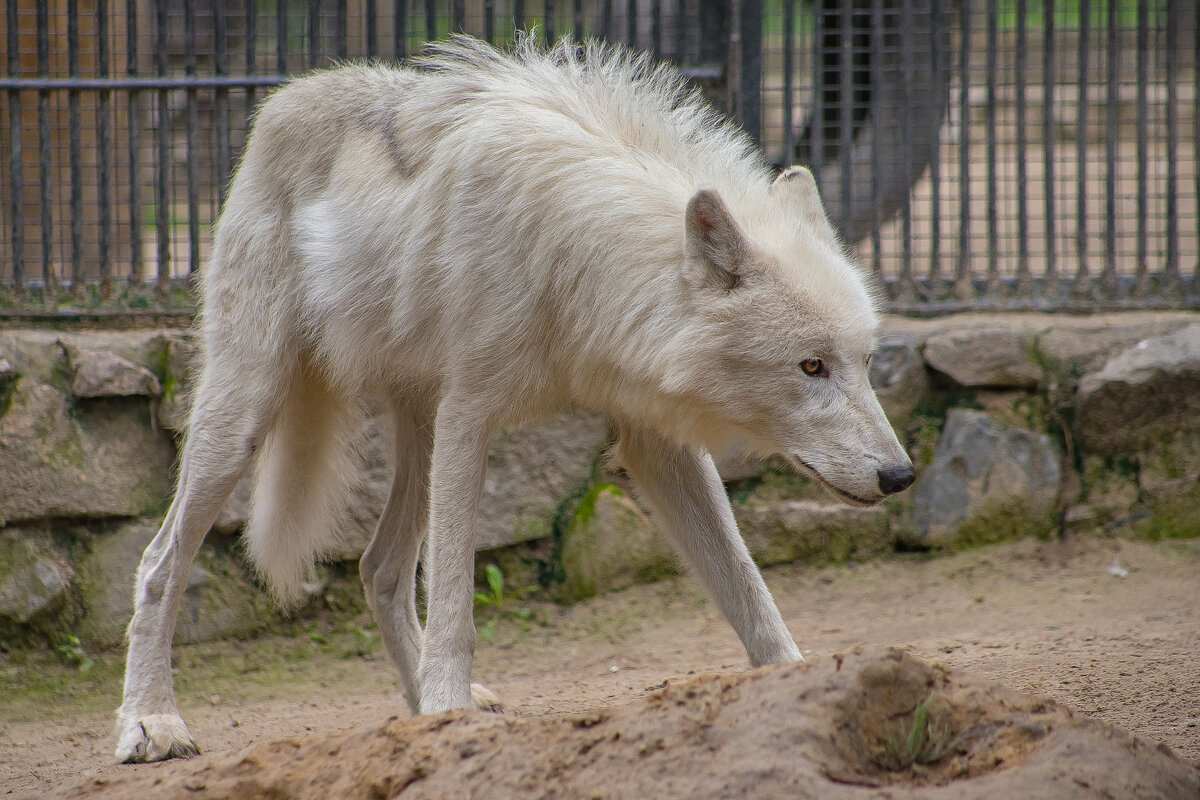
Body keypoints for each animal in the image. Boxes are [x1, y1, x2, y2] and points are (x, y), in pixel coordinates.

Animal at [117, 35, 912, 762]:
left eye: (866, 362)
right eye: (811, 367)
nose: (900, 475)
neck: (574, 264)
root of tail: (284, 97)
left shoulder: (655, 444)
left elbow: (747, 582)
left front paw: (794, 679)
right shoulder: (472, 415)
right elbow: (456, 600)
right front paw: (450, 709)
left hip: (419, 434)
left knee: (378, 569)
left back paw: (410, 703)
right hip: (248, 415)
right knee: (159, 561)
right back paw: (151, 723)